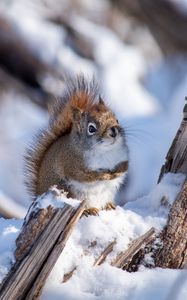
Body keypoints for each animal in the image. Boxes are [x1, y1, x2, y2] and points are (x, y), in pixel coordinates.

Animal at [25, 76, 129, 214]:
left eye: (117, 119)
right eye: (91, 129)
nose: (114, 131)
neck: (105, 150)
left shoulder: (123, 155)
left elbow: (125, 166)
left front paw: (117, 172)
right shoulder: (72, 163)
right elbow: (85, 176)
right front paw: (105, 175)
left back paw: (109, 205)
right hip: (69, 191)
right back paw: (89, 210)